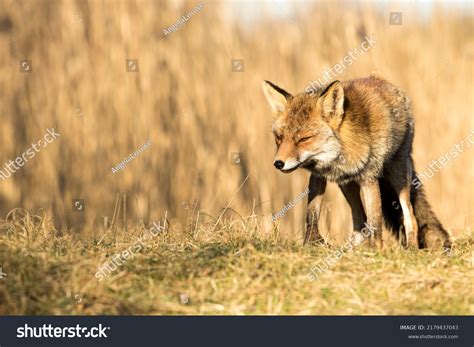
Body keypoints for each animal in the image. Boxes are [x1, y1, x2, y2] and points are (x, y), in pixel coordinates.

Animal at [262, 75, 452, 250]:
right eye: (279, 137)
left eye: (304, 139)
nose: (278, 163)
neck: (339, 155)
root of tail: (383, 80)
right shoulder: (318, 176)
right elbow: (312, 214)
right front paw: (311, 243)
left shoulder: (369, 178)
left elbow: (375, 223)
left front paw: (377, 251)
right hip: (347, 185)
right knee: (359, 221)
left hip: (398, 174)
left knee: (409, 216)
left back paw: (411, 248)